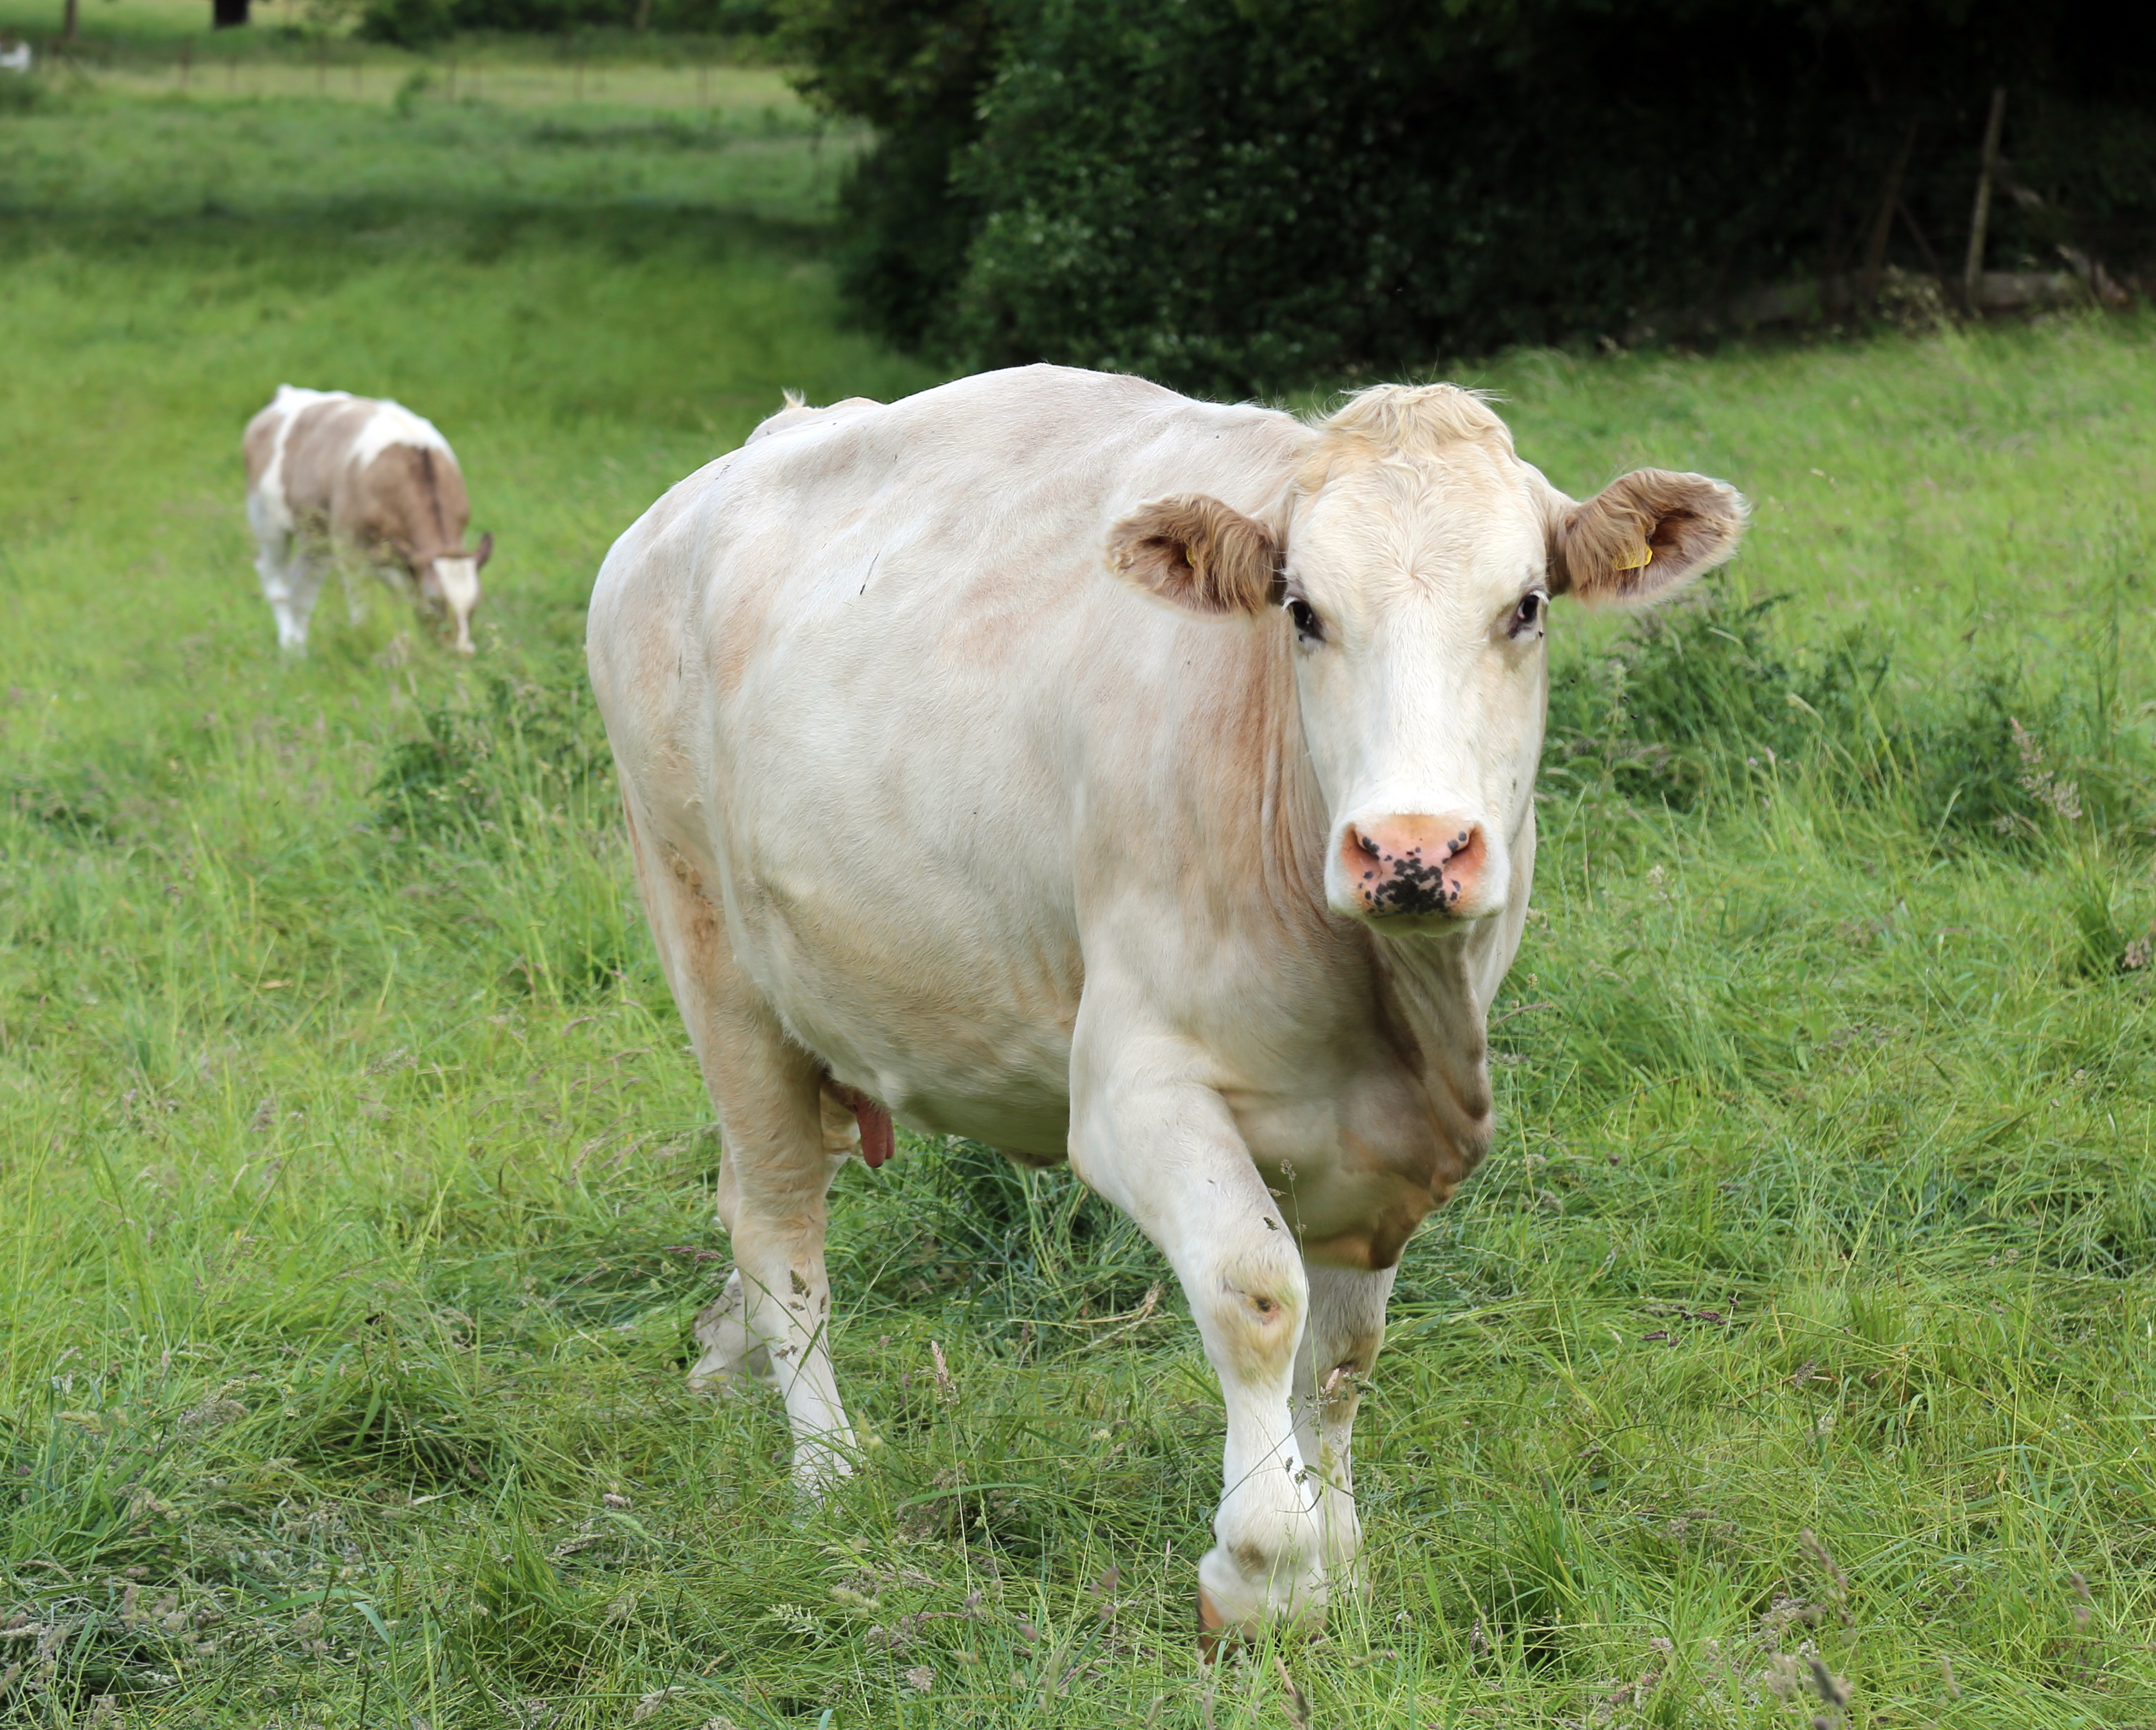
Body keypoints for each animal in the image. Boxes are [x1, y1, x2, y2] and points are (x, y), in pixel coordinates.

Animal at [243, 386, 493, 656]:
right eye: (435, 602)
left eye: (475, 605)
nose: (463, 652)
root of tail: (287, 394)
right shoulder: (349, 546)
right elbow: (361, 606)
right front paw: (364, 643)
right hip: (266, 520)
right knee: (275, 581)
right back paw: (289, 648)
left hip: (315, 535)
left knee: (302, 586)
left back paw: (298, 651)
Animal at [585, 365, 1746, 1638]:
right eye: (1302, 611)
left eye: (1528, 605)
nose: (1411, 850)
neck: (1391, 1012)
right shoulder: (1132, 1087)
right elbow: (1258, 1294)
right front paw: (1264, 1565)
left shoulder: (1386, 1137)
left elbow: (1345, 1347)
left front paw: (1339, 1551)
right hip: (710, 953)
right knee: (780, 1223)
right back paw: (829, 1469)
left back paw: (725, 1353)